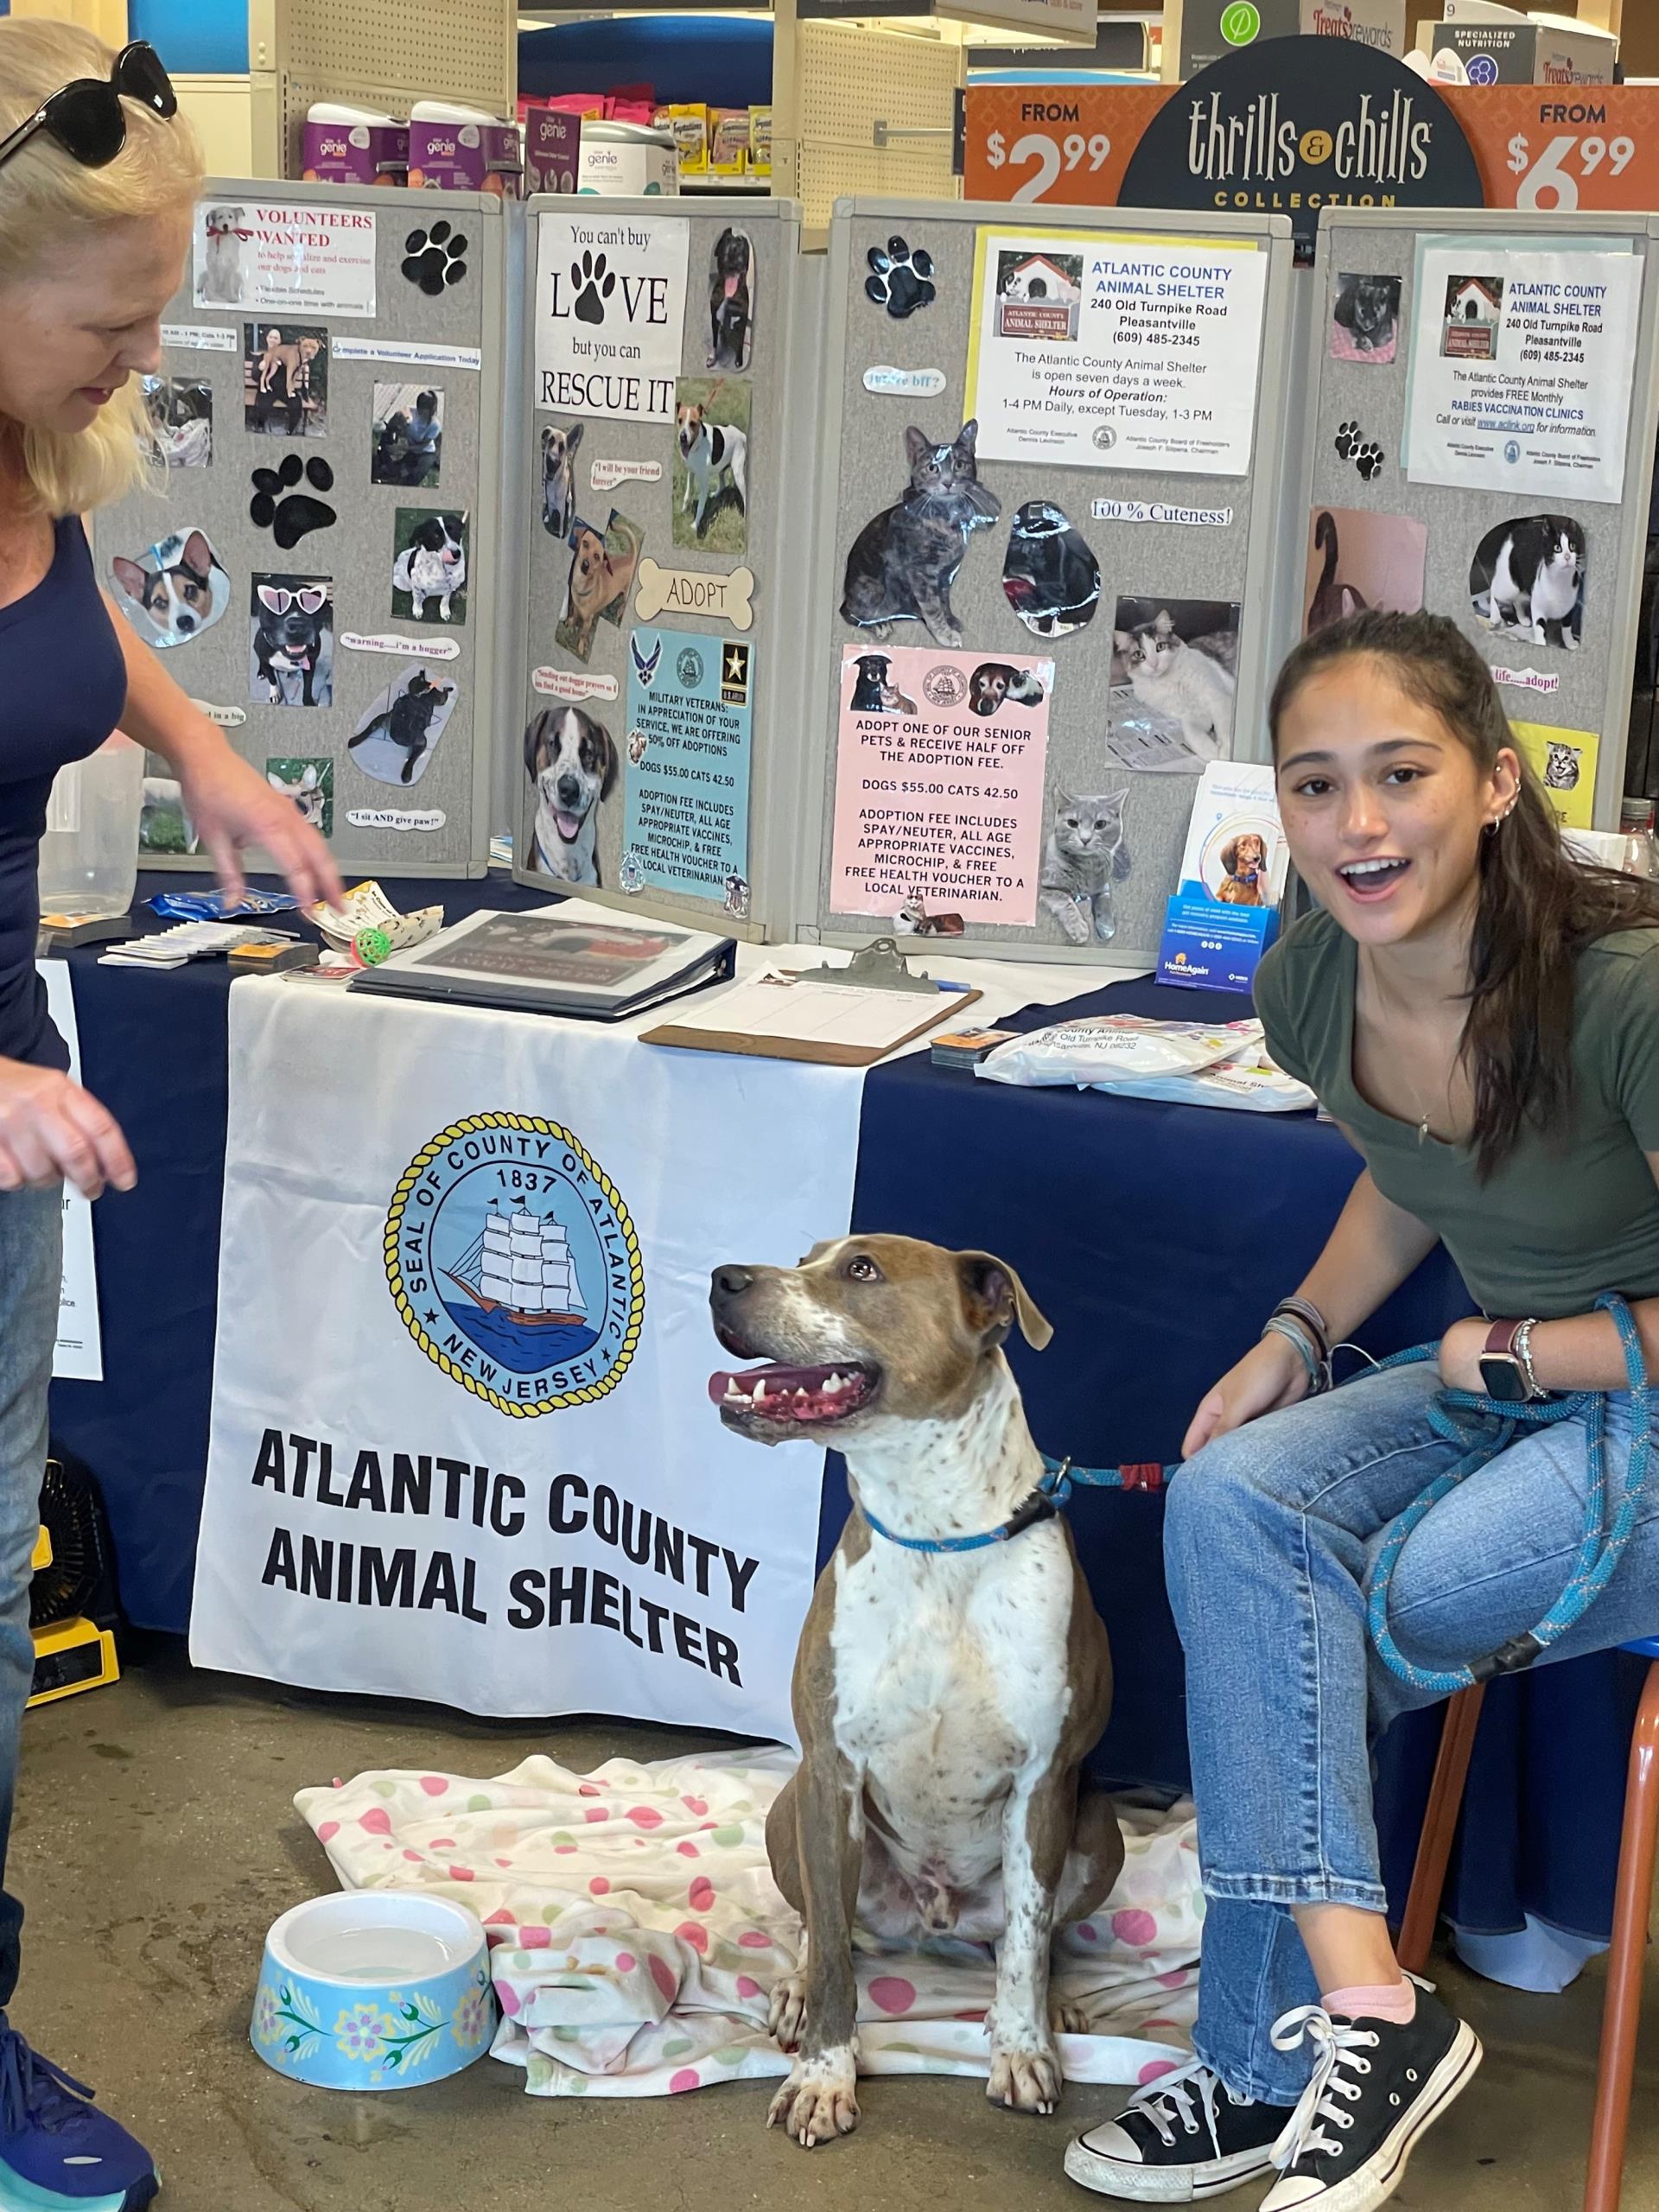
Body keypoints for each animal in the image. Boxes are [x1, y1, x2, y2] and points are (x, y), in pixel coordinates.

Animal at [708, 1230, 1123, 2141]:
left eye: (863, 1270)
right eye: (807, 1258)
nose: (723, 1278)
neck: (938, 1535)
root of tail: (935, 1918)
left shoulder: (1043, 1784)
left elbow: (1028, 1941)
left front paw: (1022, 2049)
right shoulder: (832, 1772)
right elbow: (834, 1951)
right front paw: (824, 2076)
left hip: (1098, 1828)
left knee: (1033, 1934)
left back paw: (1054, 2001)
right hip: (791, 1811)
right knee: (819, 1924)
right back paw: (797, 1988)